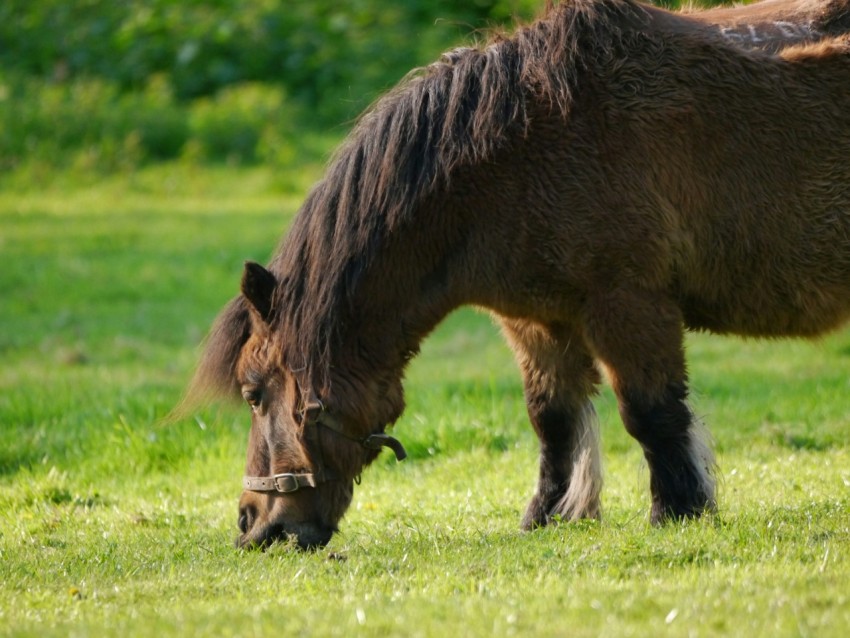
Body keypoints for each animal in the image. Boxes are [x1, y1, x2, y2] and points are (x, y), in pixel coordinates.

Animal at [189, 0, 848, 552]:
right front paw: (550, 516)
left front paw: (680, 510)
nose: (253, 525)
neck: (519, 152)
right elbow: (552, 420)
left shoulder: (628, 304)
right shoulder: (537, 321)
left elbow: (651, 412)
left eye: (253, 393)